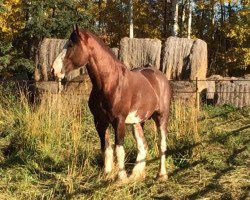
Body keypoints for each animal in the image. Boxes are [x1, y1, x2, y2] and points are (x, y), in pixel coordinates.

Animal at [51, 25, 172, 182]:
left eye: (71, 45)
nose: (54, 70)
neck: (109, 83)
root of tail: (159, 76)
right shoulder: (100, 121)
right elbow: (106, 148)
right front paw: (107, 175)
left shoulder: (118, 121)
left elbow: (119, 149)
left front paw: (121, 178)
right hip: (137, 121)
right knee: (142, 145)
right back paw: (137, 174)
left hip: (161, 117)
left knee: (161, 144)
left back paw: (161, 175)